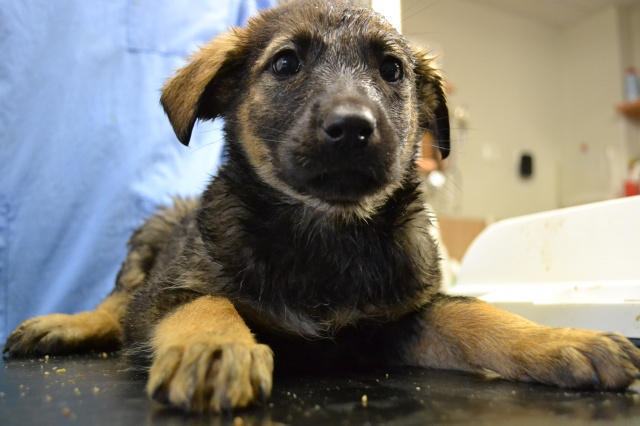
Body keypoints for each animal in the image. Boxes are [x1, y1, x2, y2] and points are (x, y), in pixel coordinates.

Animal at [4, 0, 640, 413]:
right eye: (286, 64)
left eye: (392, 69)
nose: (353, 128)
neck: (326, 233)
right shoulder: (164, 294)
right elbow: (205, 300)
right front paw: (215, 348)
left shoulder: (397, 322)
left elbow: (476, 314)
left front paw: (558, 340)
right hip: (154, 234)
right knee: (113, 303)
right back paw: (62, 325)